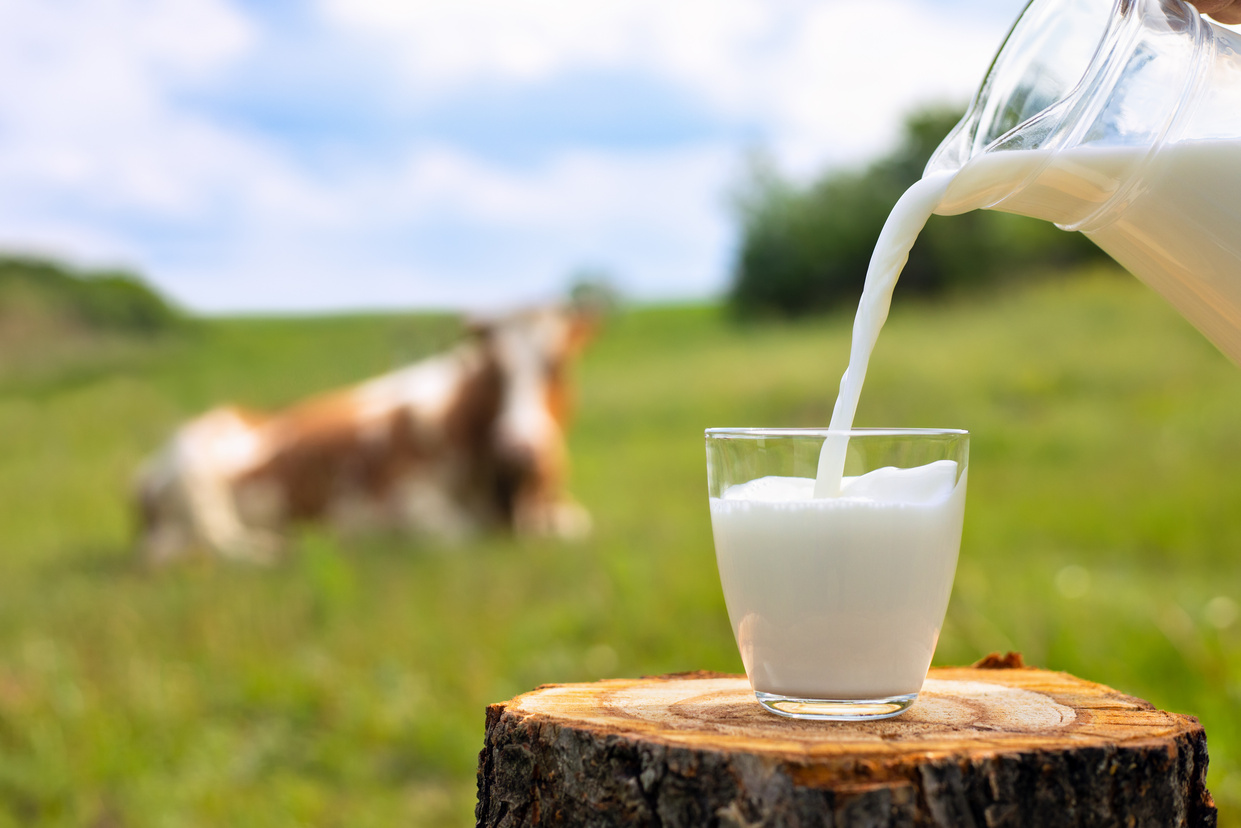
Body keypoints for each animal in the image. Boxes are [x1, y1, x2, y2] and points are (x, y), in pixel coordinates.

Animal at [135, 307, 595, 566]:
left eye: (557, 366)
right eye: (495, 370)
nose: (520, 449)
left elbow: (577, 526)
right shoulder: (394, 504)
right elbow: (457, 535)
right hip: (195, 473)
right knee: (208, 547)